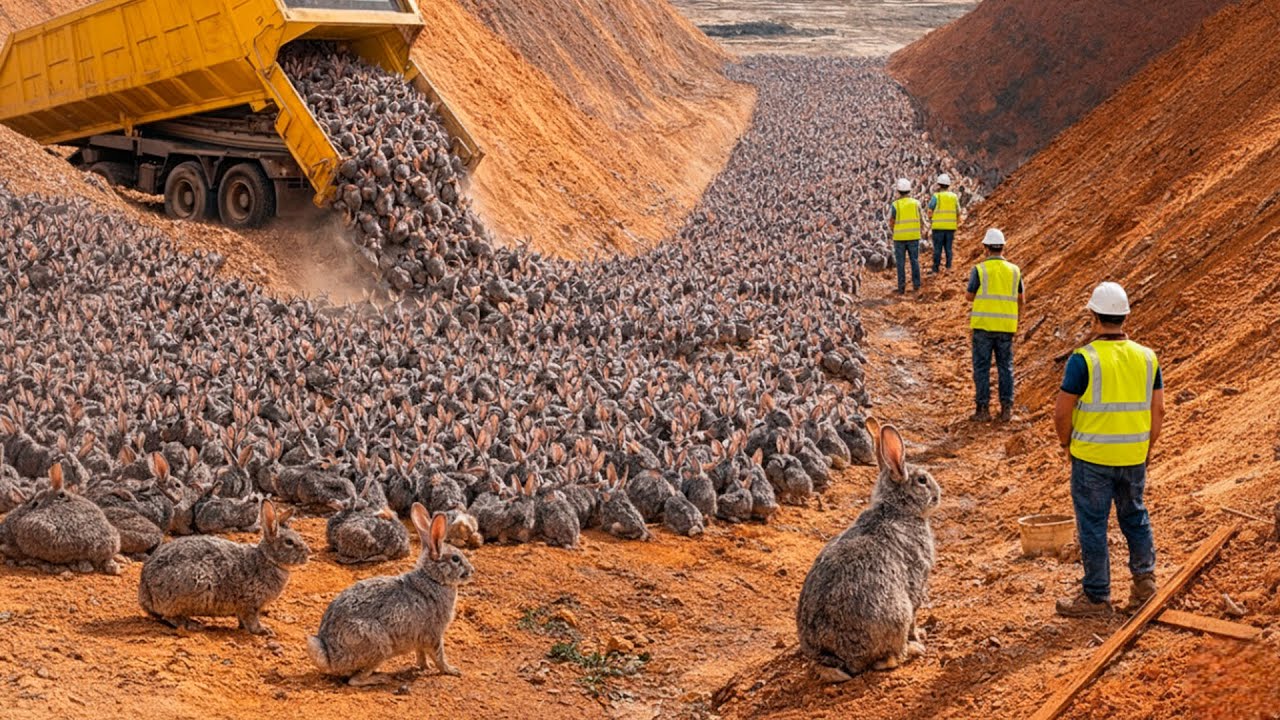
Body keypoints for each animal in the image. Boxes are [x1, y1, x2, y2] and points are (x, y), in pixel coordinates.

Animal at [139, 500, 310, 634]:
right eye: (289, 542)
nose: (309, 553)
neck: (267, 558)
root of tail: (146, 592)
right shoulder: (250, 603)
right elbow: (251, 620)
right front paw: (263, 630)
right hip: (195, 584)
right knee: (169, 616)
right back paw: (193, 624)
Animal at [307, 504, 474, 686]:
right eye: (456, 559)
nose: (472, 571)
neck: (433, 578)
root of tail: (330, 658)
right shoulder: (434, 633)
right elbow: (438, 656)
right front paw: (451, 670)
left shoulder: (420, 638)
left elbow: (421, 653)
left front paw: (424, 667)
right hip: (378, 643)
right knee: (355, 680)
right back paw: (381, 677)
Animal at [795, 419, 941, 683]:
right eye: (923, 480)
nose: (938, 494)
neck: (897, 508)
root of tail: (834, 655)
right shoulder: (916, 583)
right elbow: (915, 618)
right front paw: (920, 635)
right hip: (897, 613)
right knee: (886, 660)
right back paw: (913, 650)